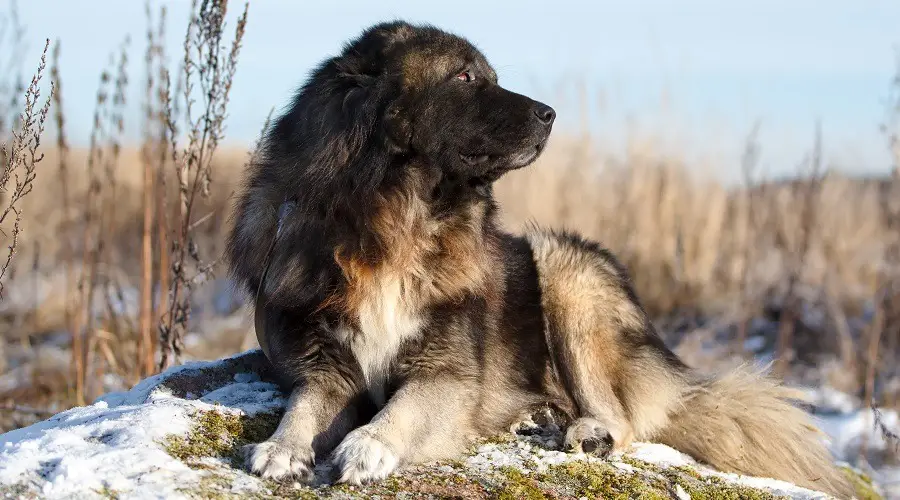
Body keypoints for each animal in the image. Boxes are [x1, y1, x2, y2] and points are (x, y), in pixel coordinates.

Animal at [227, 18, 856, 496]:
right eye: (464, 76)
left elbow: (401, 410)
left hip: (563, 276)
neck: (397, 220)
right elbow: (306, 404)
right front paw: (282, 447)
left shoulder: (448, 377)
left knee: (624, 418)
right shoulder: (326, 363)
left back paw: (584, 430)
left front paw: (368, 444)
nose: (549, 113)